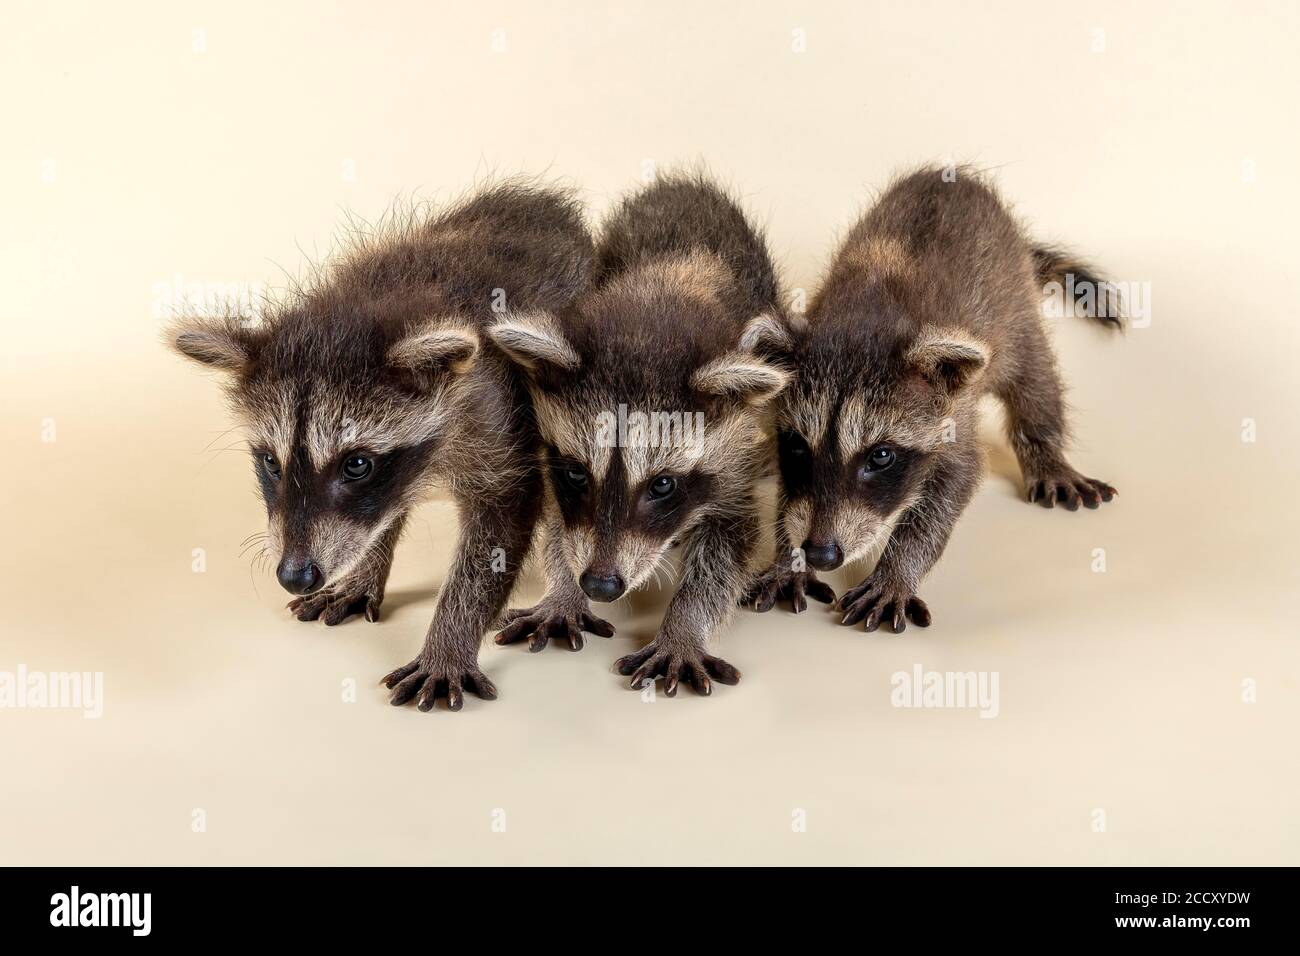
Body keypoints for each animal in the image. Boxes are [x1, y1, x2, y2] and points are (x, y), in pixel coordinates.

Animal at [169, 182, 593, 710]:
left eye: (356, 465)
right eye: (270, 462)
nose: (295, 574)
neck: (372, 300)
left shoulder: (496, 409)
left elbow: (501, 522)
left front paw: (450, 639)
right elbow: (379, 514)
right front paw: (366, 566)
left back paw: (564, 594)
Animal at [487, 174, 793, 696]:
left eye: (662, 484)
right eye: (576, 473)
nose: (600, 585)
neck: (660, 299)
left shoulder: (732, 456)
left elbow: (728, 542)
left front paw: (684, 627)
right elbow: (562, 523)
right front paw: (563, 587)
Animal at [747, 166, 1119, 632]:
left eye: (881, 456)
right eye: (798, 446)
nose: (820, 553)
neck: (863, 320)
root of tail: (954, 175)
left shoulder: (952, 412)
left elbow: (954, 483)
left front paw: (898, 571)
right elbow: (792, 492)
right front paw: (788, 557)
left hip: (1012, 302)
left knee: (1035, 378)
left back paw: (1047, 450)